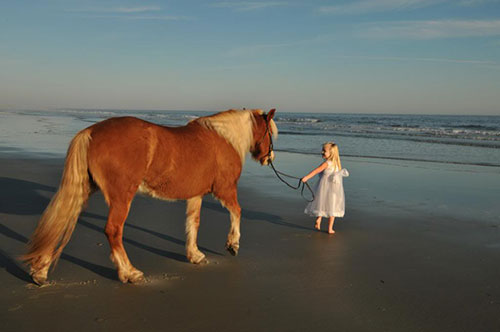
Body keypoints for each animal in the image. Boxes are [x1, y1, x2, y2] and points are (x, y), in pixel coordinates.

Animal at [22, 107, 278, 284]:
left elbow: (193, 223)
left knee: (61, 220)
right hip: (121, 197)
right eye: (270, 133)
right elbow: (237, 211)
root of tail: (91, 131)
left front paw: (194, 255)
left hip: (84, 190)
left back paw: (39, 271)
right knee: (113, 230)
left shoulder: (195, 195)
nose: (269, 158)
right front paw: (232, 244)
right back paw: (129, 272)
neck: (224, 138)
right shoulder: (225, 189)